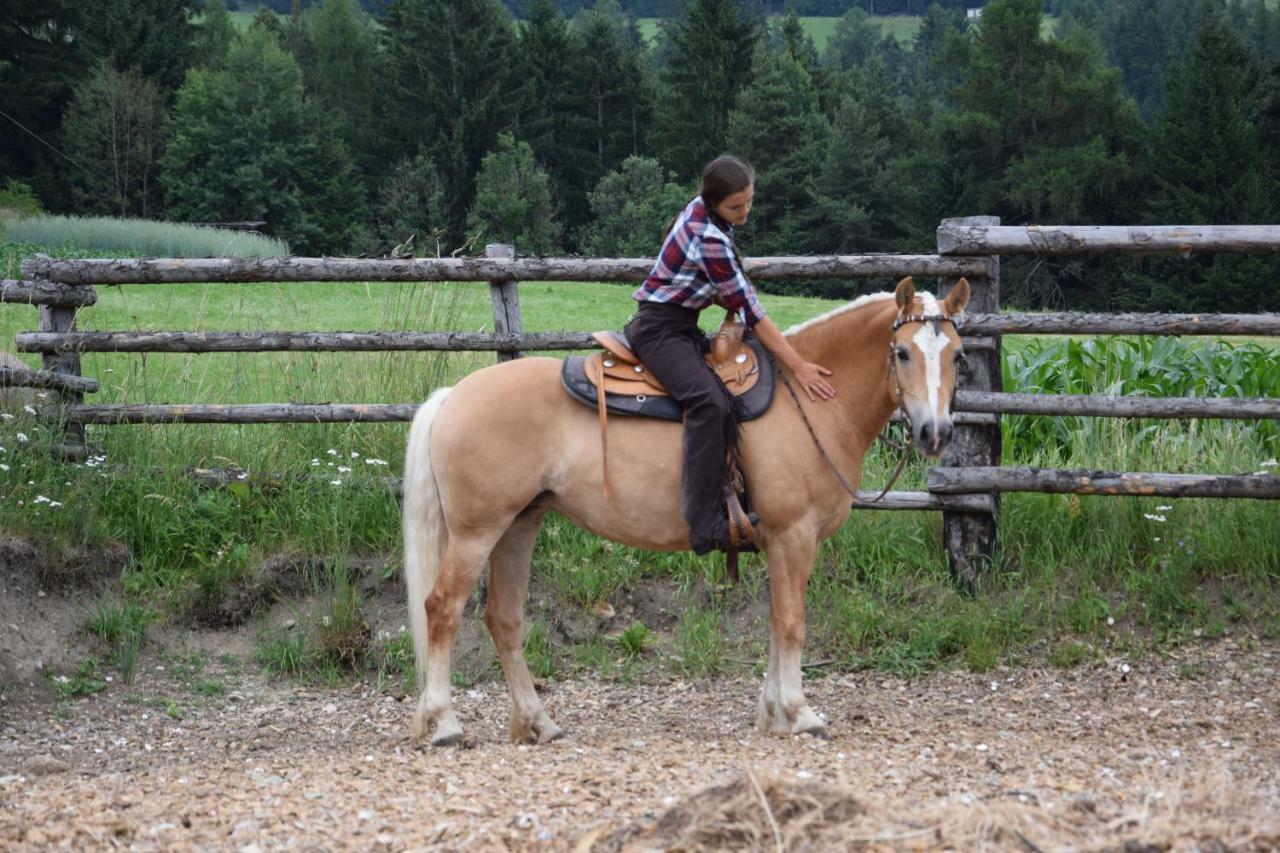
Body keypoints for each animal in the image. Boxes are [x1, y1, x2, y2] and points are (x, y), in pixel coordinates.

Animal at [404, 274, 972, 742]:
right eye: (902, 352)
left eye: (958, 356)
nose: (935, 433)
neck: (809, 400)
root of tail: (454, 395)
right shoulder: (793, 535)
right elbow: (792, 622)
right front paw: (799, 712)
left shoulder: (779, 543)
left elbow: (775, 622)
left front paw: (772, 714)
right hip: (476, 531)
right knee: (443, 609)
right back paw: (445, 724)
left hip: (520, 524)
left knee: (504, 619)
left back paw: (538, 723)